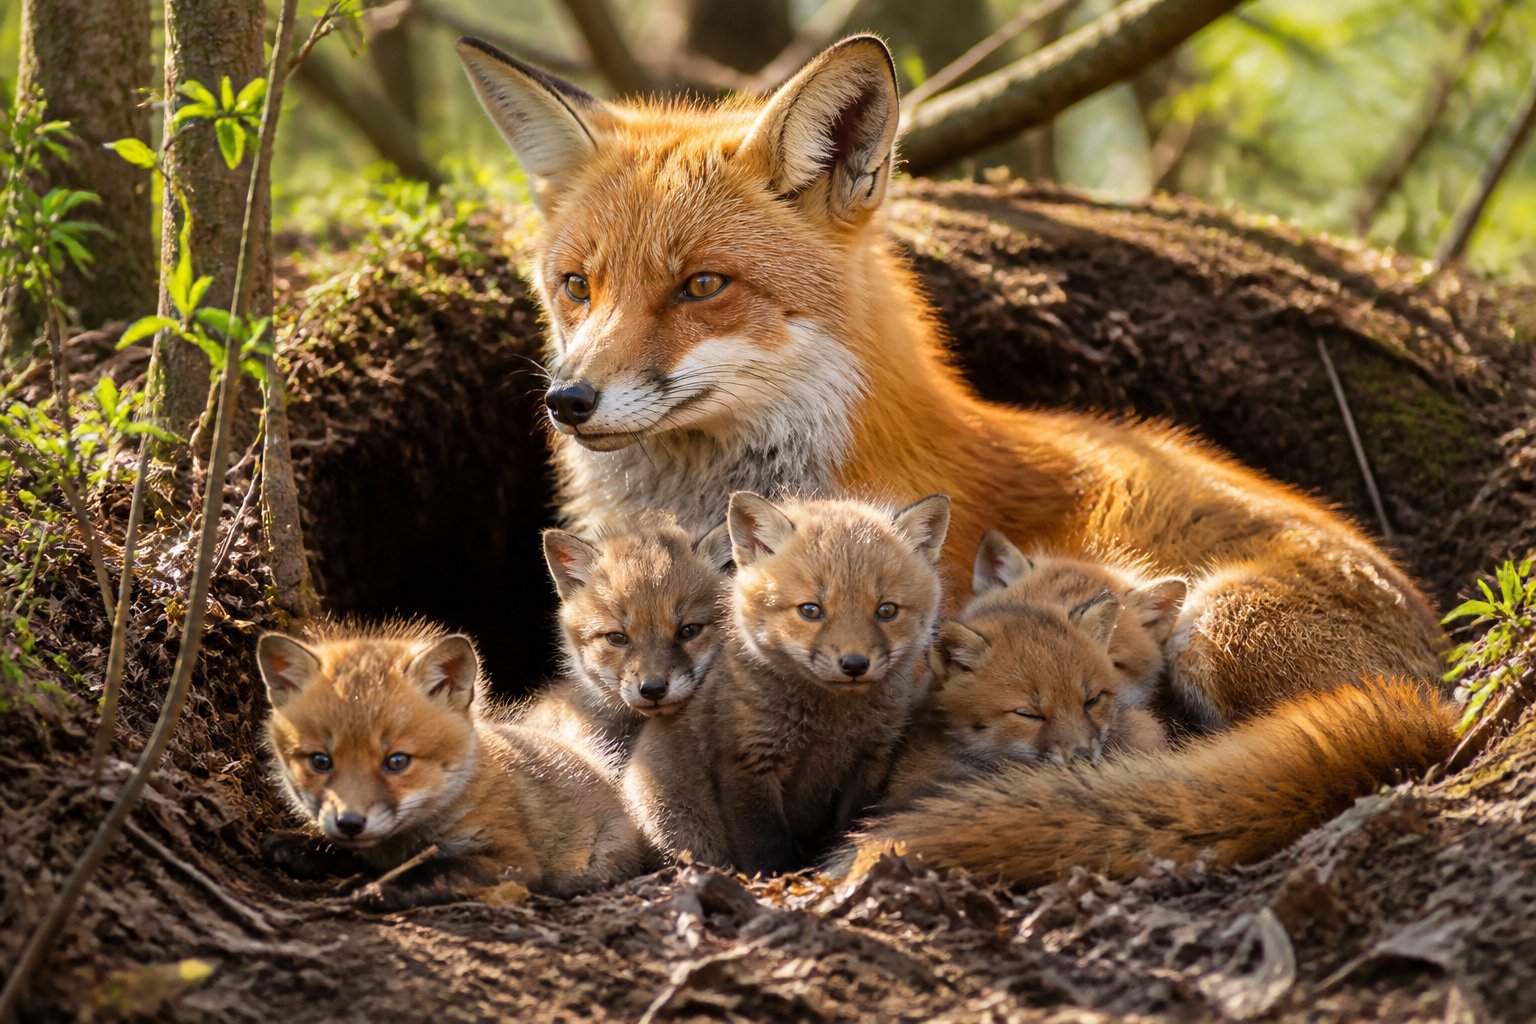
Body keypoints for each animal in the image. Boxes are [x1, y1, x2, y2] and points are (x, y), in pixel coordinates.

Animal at [257, 621, 648, 909]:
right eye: (320, 761)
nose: (350, 822)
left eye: (396, 761)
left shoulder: (513, 860)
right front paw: (306, 846)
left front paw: (373, 889)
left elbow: (433, 870)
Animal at [625, 491, 950, 873]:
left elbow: (850, 828)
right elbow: (767, 846)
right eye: (811, 610)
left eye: (886, 610)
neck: (830, 725)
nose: (854, 664)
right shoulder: (747, 760)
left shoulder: (871, 760)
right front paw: (782, 880)